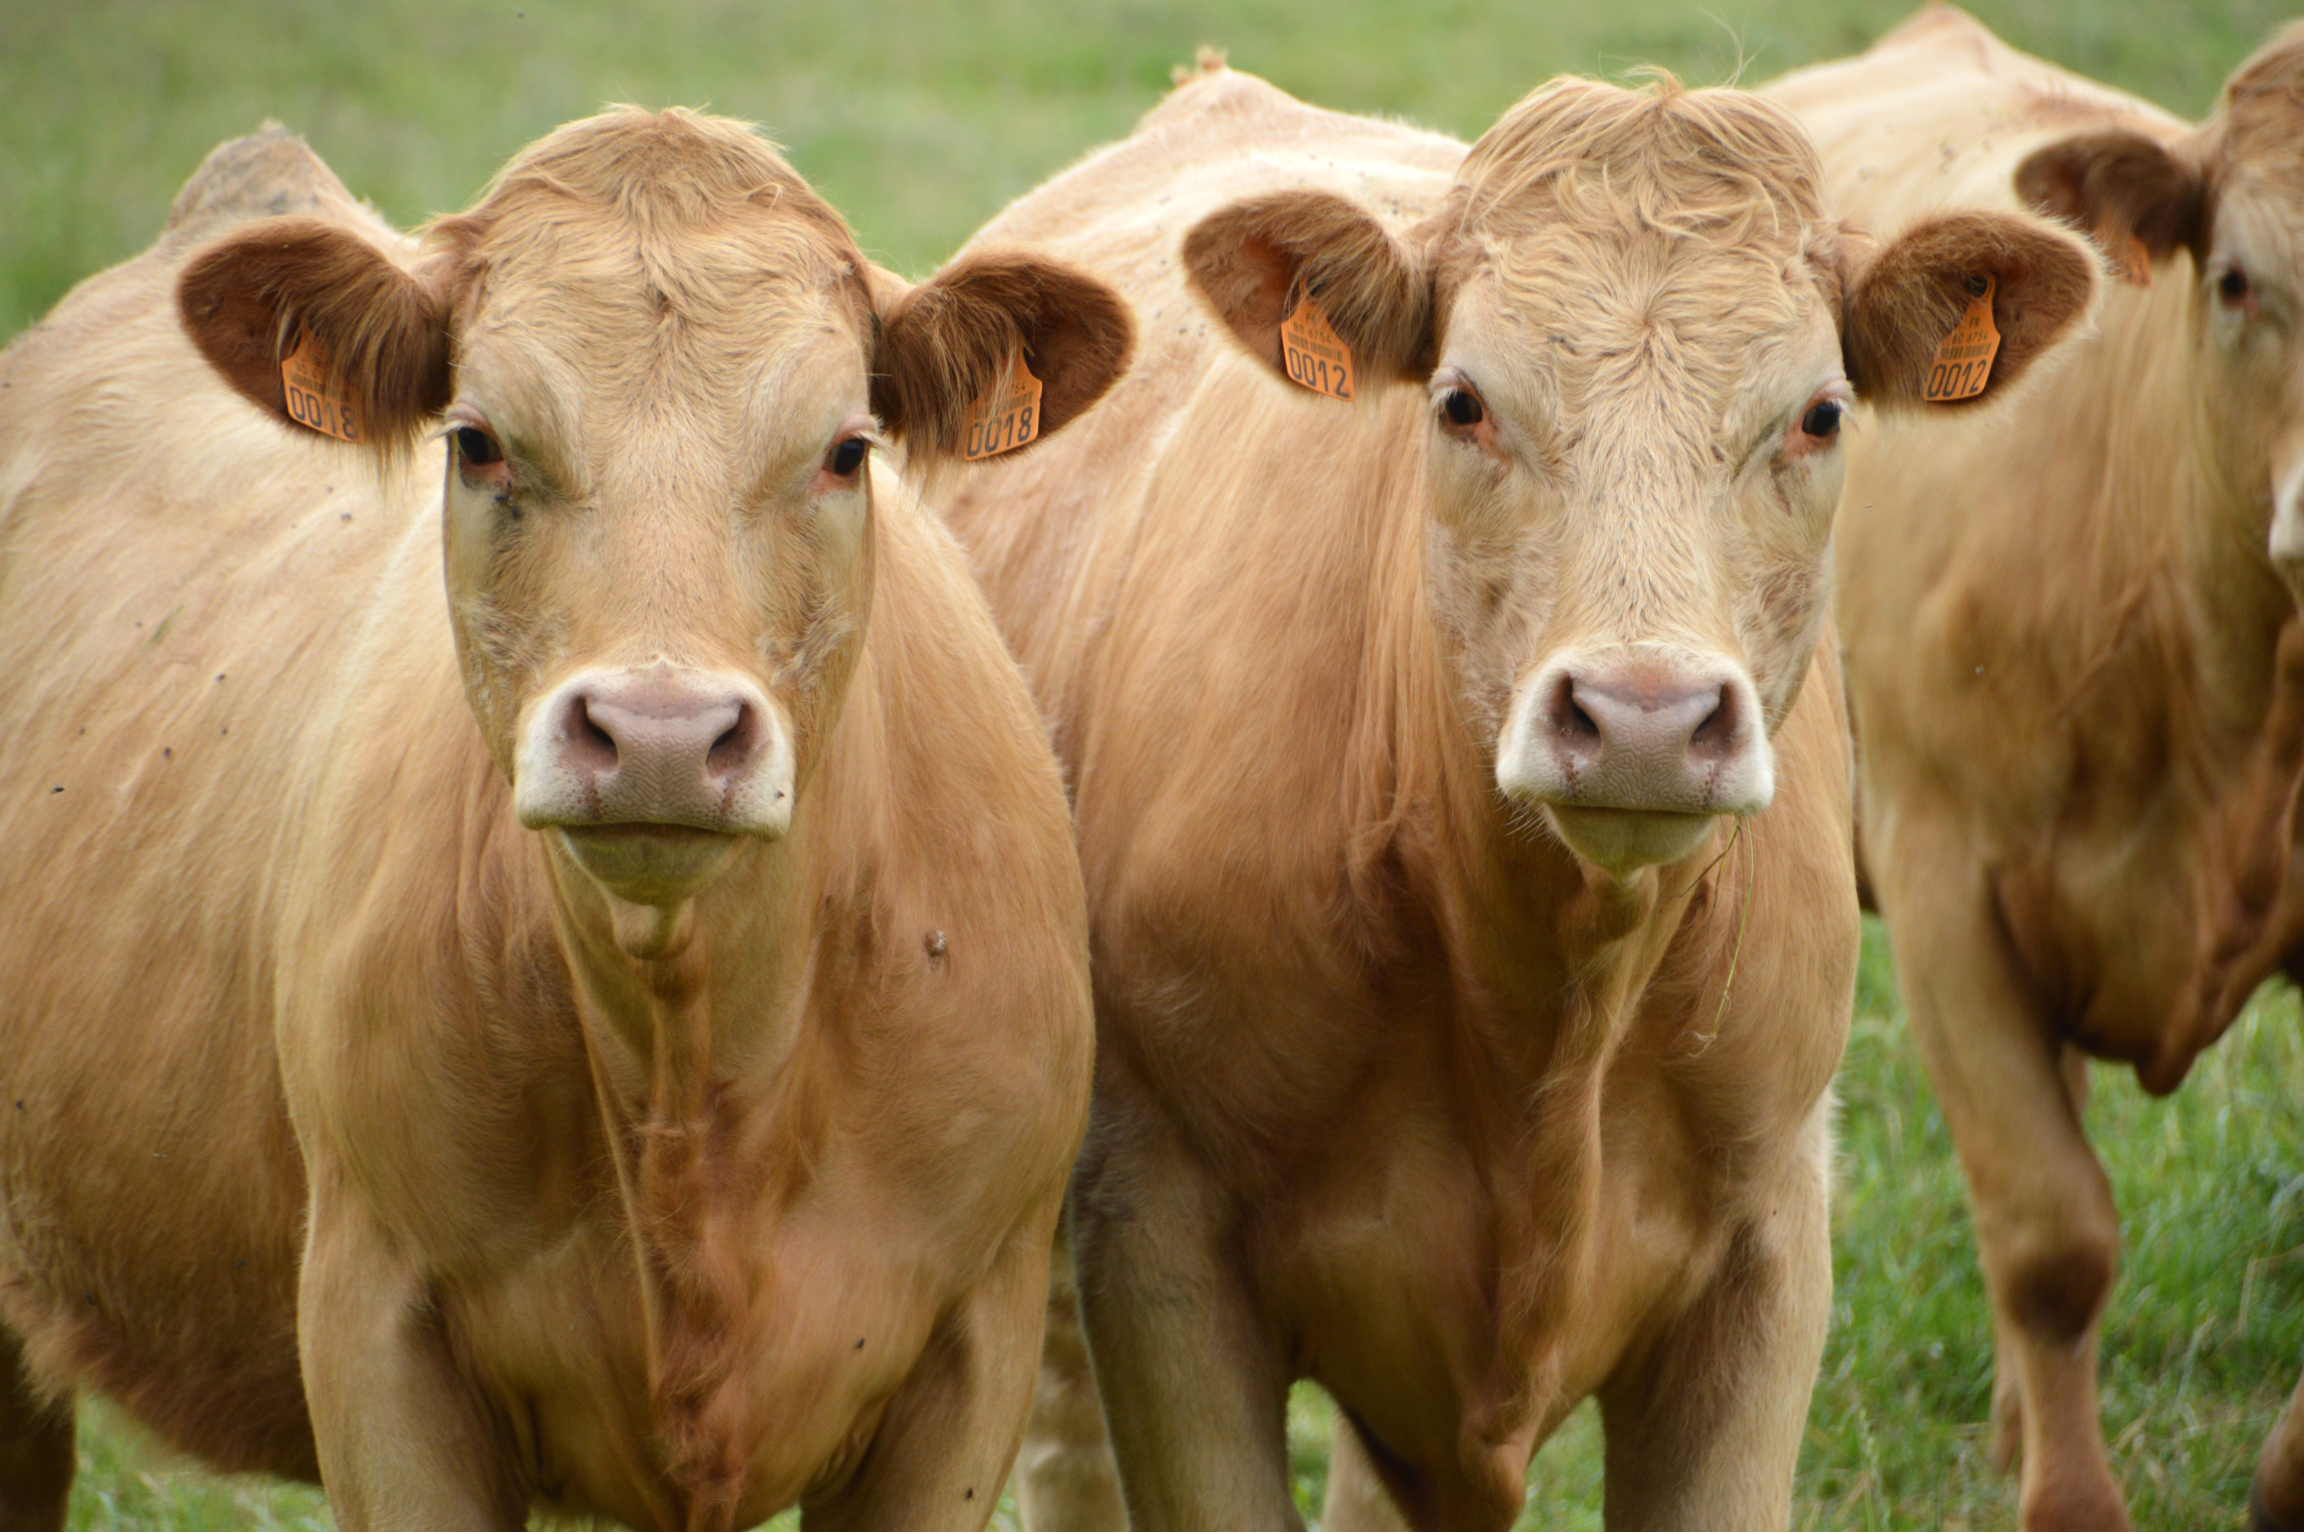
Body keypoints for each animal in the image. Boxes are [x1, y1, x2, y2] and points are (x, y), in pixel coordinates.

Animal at [930, 53, 2110, 1520]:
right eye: (1463, 401)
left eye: (1821, 413)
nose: (1646, 717)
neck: (1555, 1005)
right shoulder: (1158, 1241)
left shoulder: (1770, 1247)